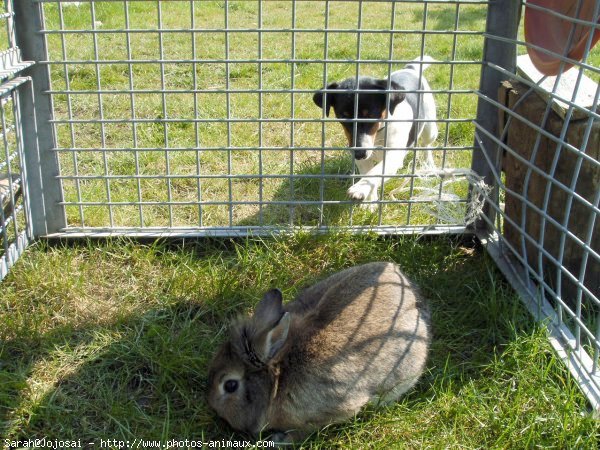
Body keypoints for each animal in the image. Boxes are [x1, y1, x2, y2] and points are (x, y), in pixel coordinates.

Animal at [312, 55, 438, 207]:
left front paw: (360, 188)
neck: (379, 133)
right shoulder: (362, 157)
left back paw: (429, 165)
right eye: (343, 116)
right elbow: (368, 172)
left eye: (371, 115)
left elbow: (375, 172)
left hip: (430, 126)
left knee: (426, 145)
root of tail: (410, 69)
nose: (359, 154)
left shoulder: (393, 155)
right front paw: (369, 202)